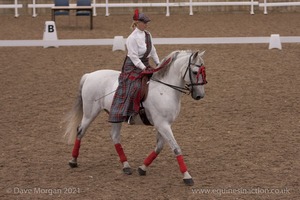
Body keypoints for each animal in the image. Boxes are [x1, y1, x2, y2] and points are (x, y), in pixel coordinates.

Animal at [64, 49, 207, 186]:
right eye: (195, 72)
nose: (200, 95)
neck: (165, 89)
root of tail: (89, 76)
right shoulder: (163, 125)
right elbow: (176, 148)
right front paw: (187, 177)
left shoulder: (163, 124)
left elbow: (159, 147)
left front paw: (142, 168)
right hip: (90, 113)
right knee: (80, 131)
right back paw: (73, 161)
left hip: (115, 116)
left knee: (115, 137)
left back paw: (126, 166)